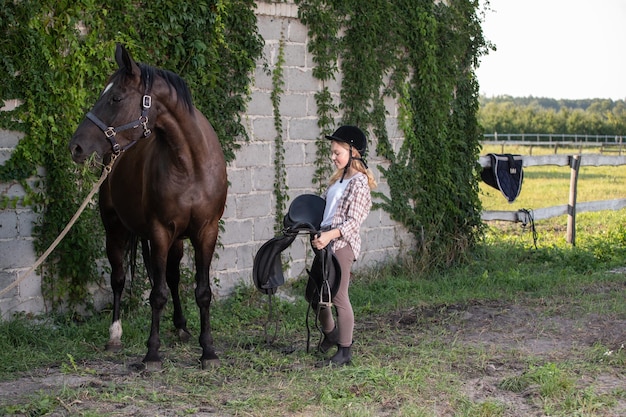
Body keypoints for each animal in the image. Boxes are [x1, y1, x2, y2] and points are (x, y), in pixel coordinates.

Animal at [70, 44, 227, 368]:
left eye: (115, 98)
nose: (76, 147)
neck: (191, 164)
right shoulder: (159, 233)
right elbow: (156, 294)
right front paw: (152, 353)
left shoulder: (206, 231)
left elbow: (202, 292)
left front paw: (208, 350)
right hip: (115, 230)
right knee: (118, 279)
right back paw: (114, 336)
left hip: (177, 240)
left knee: (173, 277)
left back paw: (181, 327)